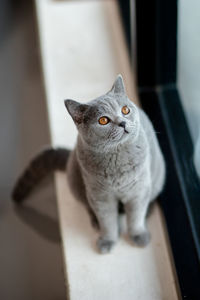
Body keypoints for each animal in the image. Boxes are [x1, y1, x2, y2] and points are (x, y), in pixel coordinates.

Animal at [12, 74, 166, 253]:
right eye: (104, 120)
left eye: (125, 110)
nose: (122, 122)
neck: (116, 160)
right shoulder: (100, 197)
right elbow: (108, 222)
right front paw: (107, 240)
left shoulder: (138, 190)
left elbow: (136, 217)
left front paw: (139, 236)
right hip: (76, 179)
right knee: (87, 205)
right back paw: (95, 222)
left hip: (157, 177)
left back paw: (148, 211)